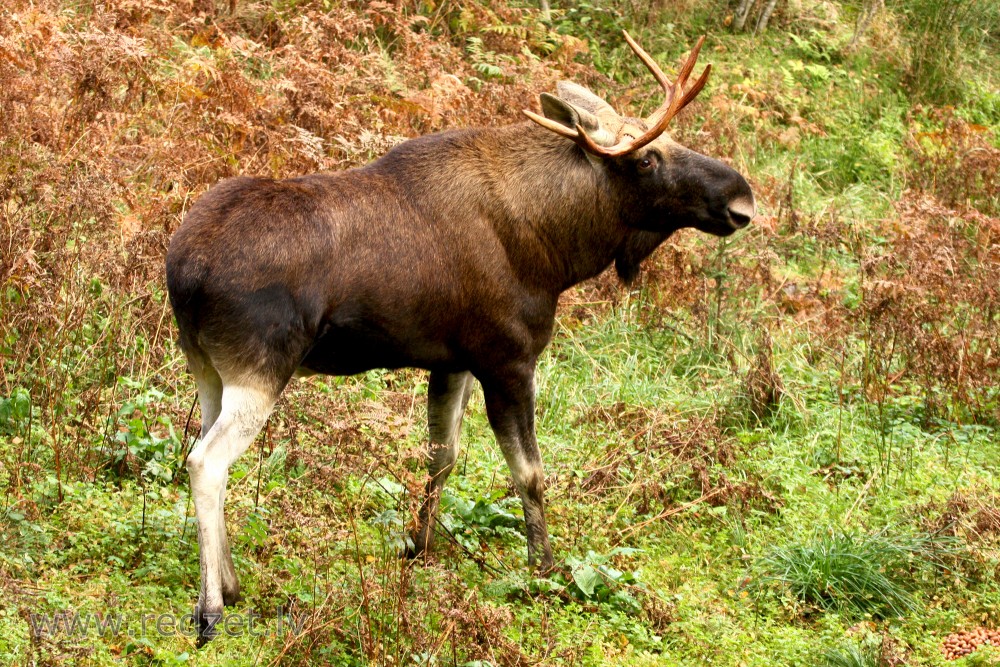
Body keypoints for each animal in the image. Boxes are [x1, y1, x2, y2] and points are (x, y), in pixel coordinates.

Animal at [168, 34, 752, 644]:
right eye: (646, 157)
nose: (742, 196)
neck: (555, 248)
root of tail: (182, 272)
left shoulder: (451, 361)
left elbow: (441, 456)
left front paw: (418, 546)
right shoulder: (508, 358)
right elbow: (530, 472)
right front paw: (543, 569)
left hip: (208, 368)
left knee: (204, 449)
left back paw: (230, 583)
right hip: (260, 369)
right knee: (205, 462)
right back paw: (210, 607)